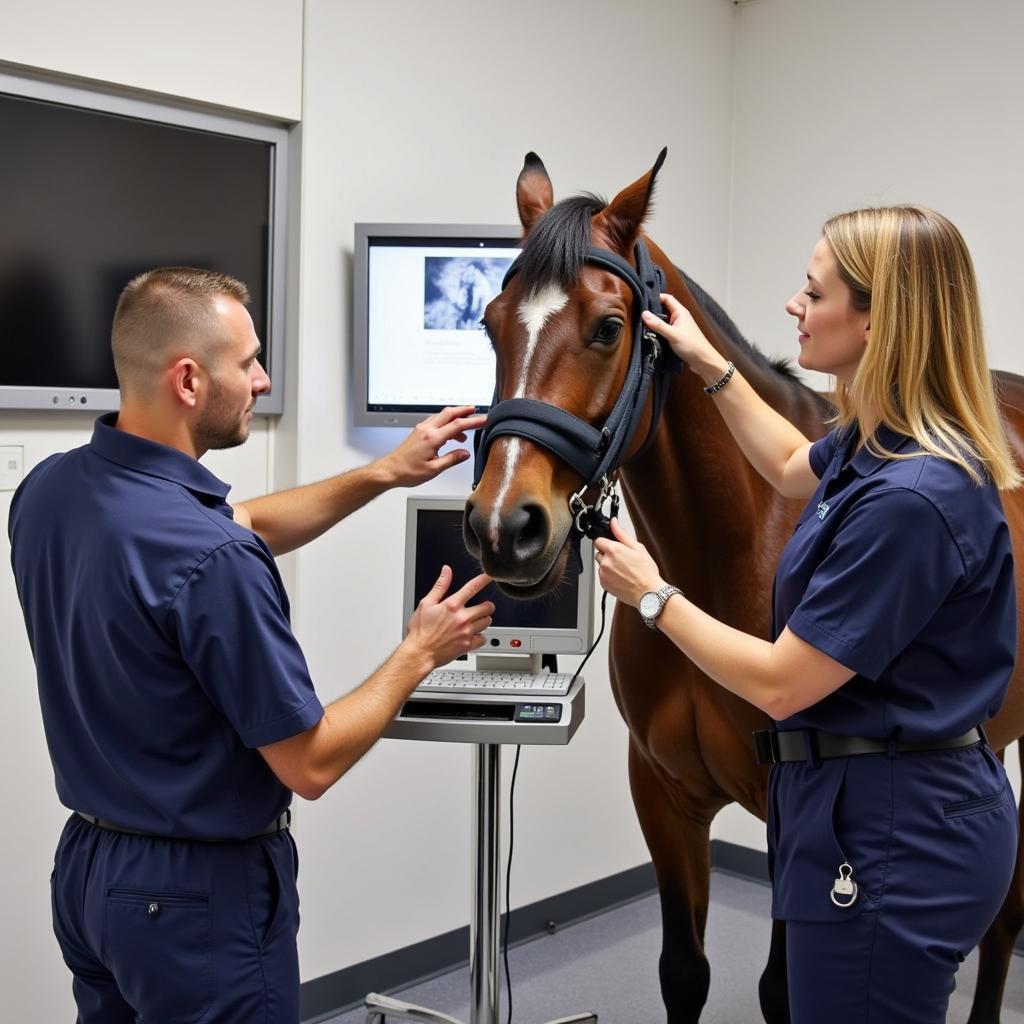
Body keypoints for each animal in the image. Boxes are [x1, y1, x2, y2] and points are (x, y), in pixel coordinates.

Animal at [462, 153, 1024, 1024]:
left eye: (609, 327)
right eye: (491, 325)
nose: (503, 527)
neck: (723, 552)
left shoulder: (798, 818)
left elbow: (782, 989)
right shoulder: (664, 797)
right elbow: (683, 972)